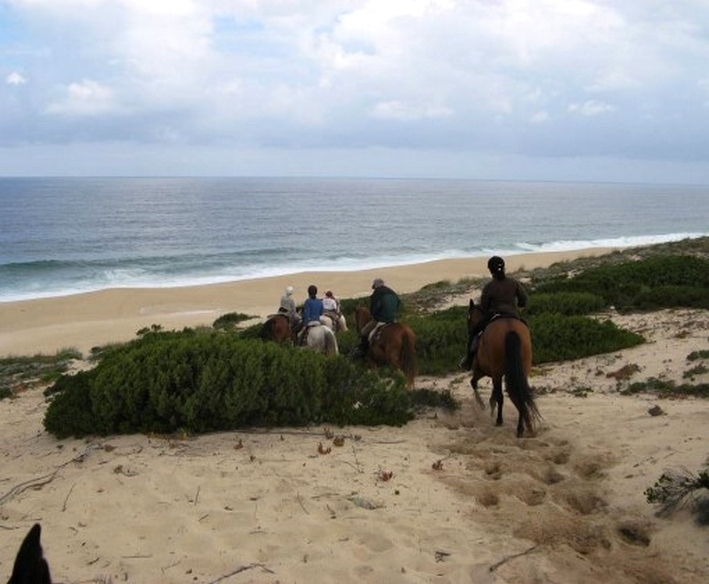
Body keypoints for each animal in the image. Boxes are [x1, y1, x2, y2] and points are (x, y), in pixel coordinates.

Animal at [468, 298, 540, 436]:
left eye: (468, 318)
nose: (469, 330)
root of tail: (510, 329)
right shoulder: (495, 373)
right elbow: (493, 393)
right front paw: (489, 407)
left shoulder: (483, 370)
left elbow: (474, 383)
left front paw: (482, 405)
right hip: (521, 369)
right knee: (519, 394)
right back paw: (523, 427)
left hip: (495, 371)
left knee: (502, 396)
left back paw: (500, 421)